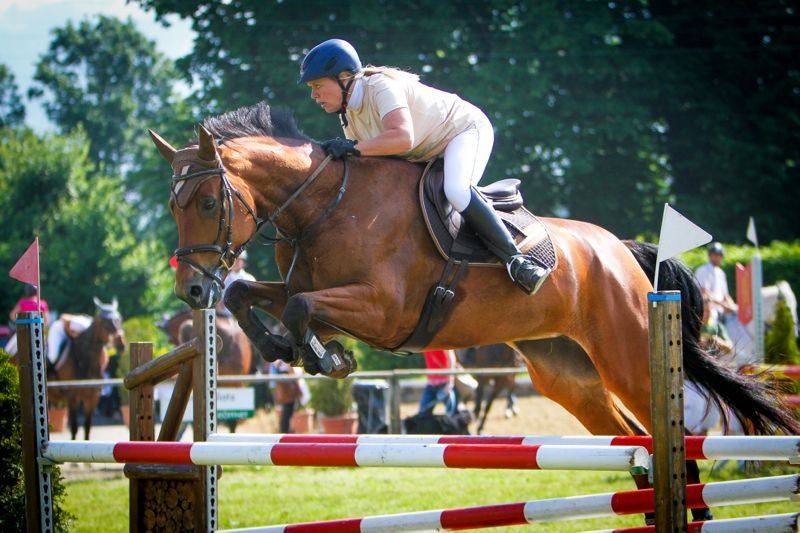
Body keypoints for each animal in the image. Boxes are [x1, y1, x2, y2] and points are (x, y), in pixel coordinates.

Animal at [49, 298, 124, 438]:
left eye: (119, 319)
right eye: (104, 322)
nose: (121, 344)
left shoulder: (92, 397)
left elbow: (87, 428)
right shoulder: (72, 397)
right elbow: (74, 428)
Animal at [147, 102, 796, 520]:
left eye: (208, 202)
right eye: (174, 206)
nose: (192, 294)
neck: (324, 204)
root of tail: (623, 253)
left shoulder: (384, 311)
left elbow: (304, 308)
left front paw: (326, 359)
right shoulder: (312, 293)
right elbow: (256, 297)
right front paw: (289, 348)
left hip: (629, 356)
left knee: (671, 441)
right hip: (568, 375)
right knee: (636, 441)